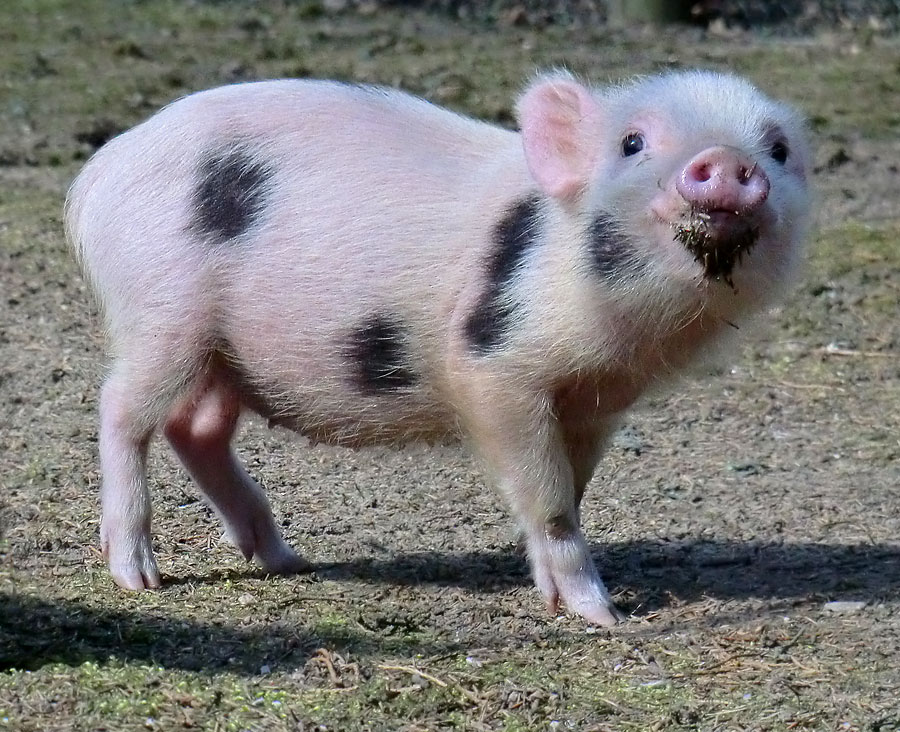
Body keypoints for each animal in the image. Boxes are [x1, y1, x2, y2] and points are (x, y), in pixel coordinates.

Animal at [63, 71, 808, 628]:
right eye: (632, 142)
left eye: (778, 149)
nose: (729, 161)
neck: (628, 328)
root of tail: (99, 171)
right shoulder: (494, 367)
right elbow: (548, 495)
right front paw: (603, 615)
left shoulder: (599, 399)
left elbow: (571, 487)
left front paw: (556, 592)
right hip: (162, 314)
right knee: (121, 410)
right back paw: (139, 578)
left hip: (220, 352)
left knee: (197, 428)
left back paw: (285, 559)